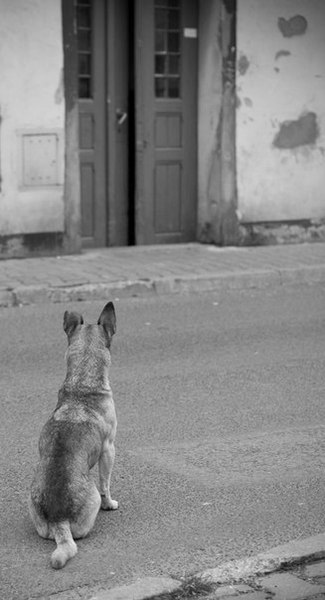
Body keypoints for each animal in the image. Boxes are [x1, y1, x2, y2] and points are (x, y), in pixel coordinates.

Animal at [28, 302, 117, 568]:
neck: (82, 385)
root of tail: (59, 521)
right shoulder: (109, 450)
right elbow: (106, 483)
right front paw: (111, 504)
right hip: (91, 501)